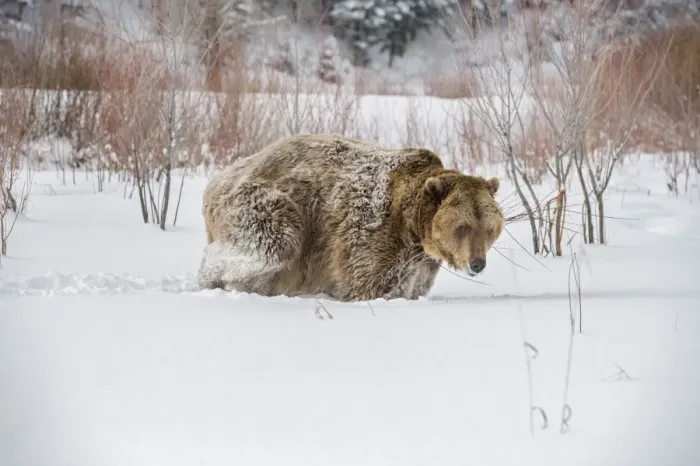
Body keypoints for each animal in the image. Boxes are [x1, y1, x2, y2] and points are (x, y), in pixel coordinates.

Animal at [197, 133, 504, 301]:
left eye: (489, 229)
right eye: (462, 227)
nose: (477, 264)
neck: (413, 228)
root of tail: (217, 180)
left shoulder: (419, 262)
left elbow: (409, 287)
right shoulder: (371, 232)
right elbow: (367, 282)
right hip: (272, 205)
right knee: (268, 248)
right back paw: (209, 278)